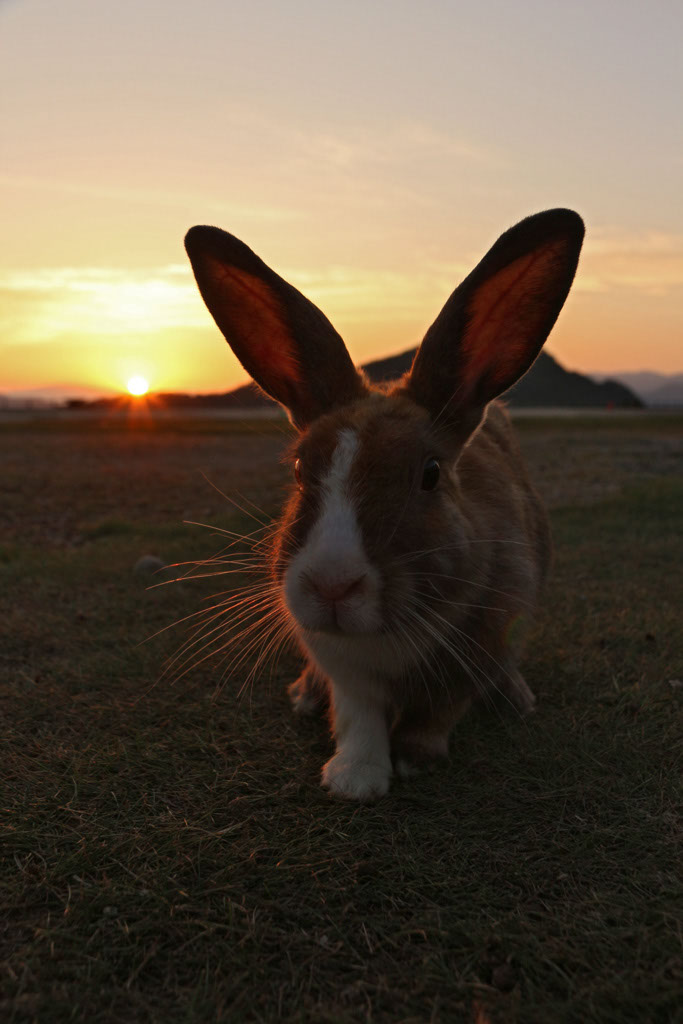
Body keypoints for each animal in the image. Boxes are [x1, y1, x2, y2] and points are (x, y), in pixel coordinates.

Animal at [184, 208, 584, 801]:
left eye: (431, 474)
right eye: (300, 469)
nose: (331, 586)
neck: (387, 633)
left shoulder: (478, 648)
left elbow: (438, 712)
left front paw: (415, 758)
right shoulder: (342, 666)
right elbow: (359, 715)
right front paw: (354, 778)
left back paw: (517, 698)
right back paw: (304, 696)